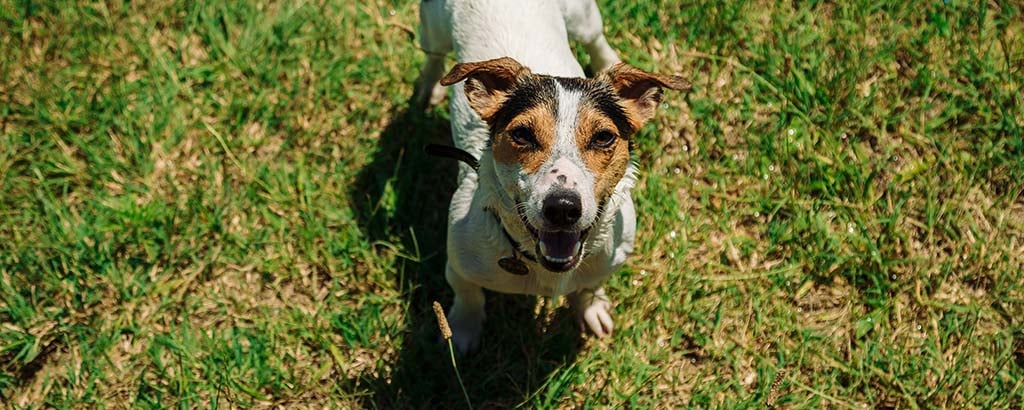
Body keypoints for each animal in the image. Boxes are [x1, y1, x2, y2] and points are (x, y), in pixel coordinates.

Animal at [413, 0, 688, 352]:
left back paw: (609, 61)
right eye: (521, 134)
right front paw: (462, 330)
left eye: (603, 137)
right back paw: (428, 86)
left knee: (595, 39)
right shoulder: (459, 266)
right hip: (432, 27)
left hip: (583, 17)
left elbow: (590, 287)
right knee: (433, 56)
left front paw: (591, 308)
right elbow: (468, 296)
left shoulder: (610, 258)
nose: (562, 208)